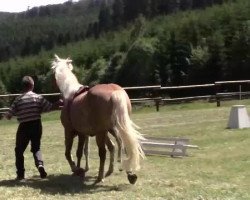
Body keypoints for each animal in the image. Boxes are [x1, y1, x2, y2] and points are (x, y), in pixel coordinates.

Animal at [51, 54, 146, 184]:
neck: (70, 93)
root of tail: (114, 91)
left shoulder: (69, 131)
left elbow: (69, 153)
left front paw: (76, 169)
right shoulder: (83, 134)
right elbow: (80, 152)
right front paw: (79, 170)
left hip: (102, 133)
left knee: (103, 152)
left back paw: (100, 177)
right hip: (116, 128)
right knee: (124, 145)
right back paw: (128, 174)